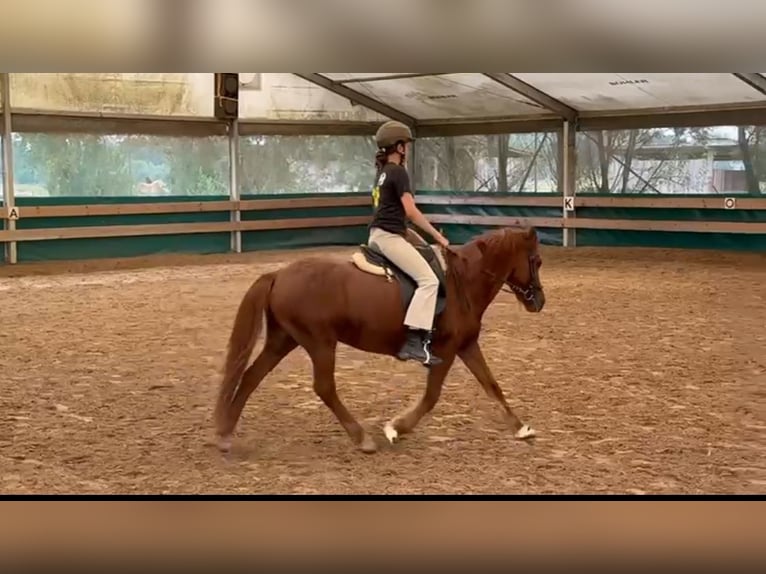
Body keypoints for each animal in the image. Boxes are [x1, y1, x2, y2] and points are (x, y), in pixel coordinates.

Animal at [213, 226, 546, 454]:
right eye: (537, 261)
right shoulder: (446, 350)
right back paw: (362, 439)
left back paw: (226, 434)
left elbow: (492, 385)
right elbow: (431, 397)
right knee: (324, 387)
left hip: (284, 339)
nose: (539, 302)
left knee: (252, 375)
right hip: (320, 342)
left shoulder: (466, 345)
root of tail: (279, 274)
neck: (462, 283)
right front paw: (396, 428)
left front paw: (521, 428)